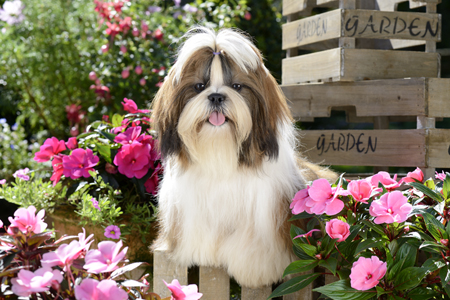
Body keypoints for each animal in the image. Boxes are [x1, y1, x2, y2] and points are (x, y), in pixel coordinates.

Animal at [153, 27, 336, 288]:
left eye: (237, 86)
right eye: (199, 86)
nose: (216, 96)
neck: (221, 155)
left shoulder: (267, 209)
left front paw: (255, 268)